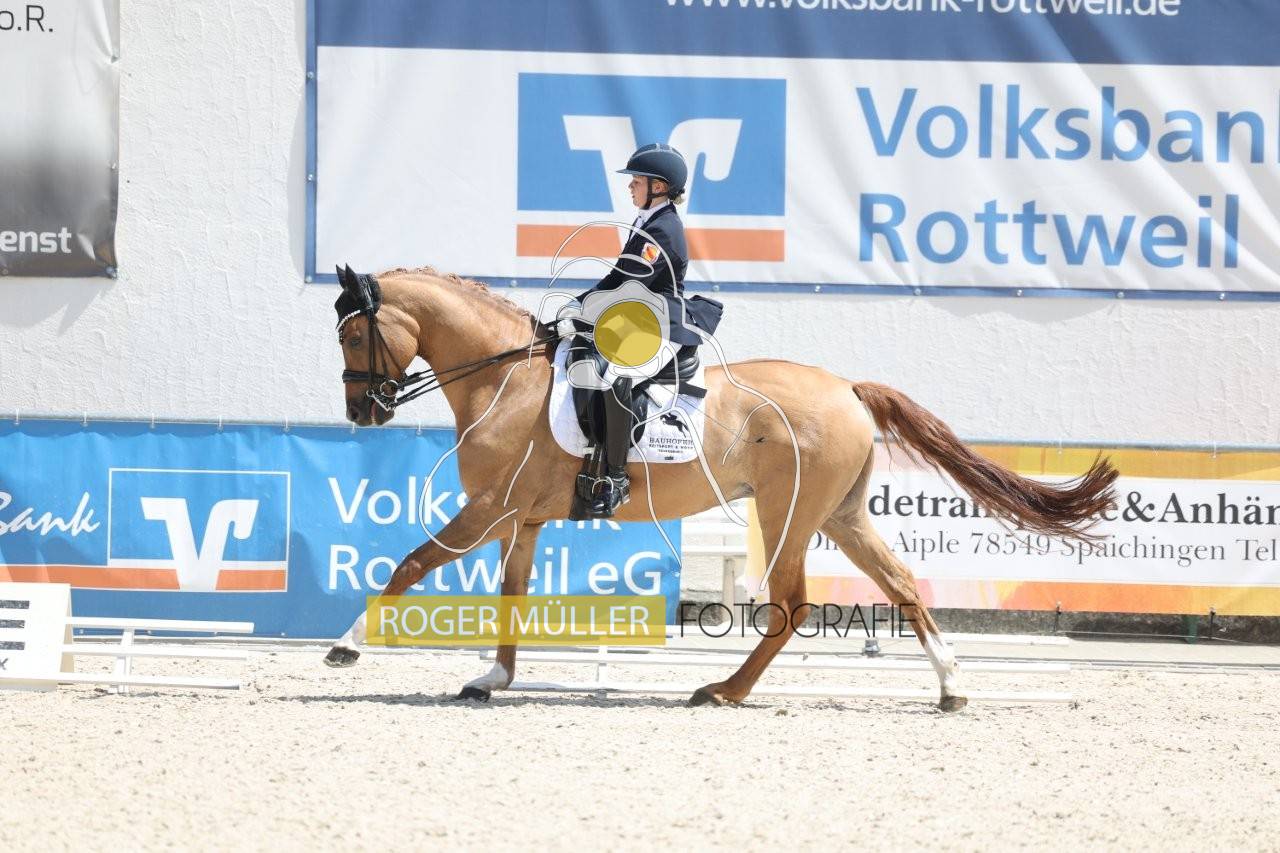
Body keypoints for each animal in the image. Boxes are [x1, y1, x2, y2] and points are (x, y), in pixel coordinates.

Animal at [324, 265, 1118, 711]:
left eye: (354, 337)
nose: (362, 412)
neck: (503, 377)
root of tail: (848, 387)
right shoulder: (521, 519)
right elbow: (511, 594)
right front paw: (493, 677)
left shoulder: (492, 508)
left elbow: (411, 563)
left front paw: (345, 647)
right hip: (842, 514)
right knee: (900, 584)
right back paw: (951, 688)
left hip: (789, 512)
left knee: (793, 605)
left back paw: (724, 692)